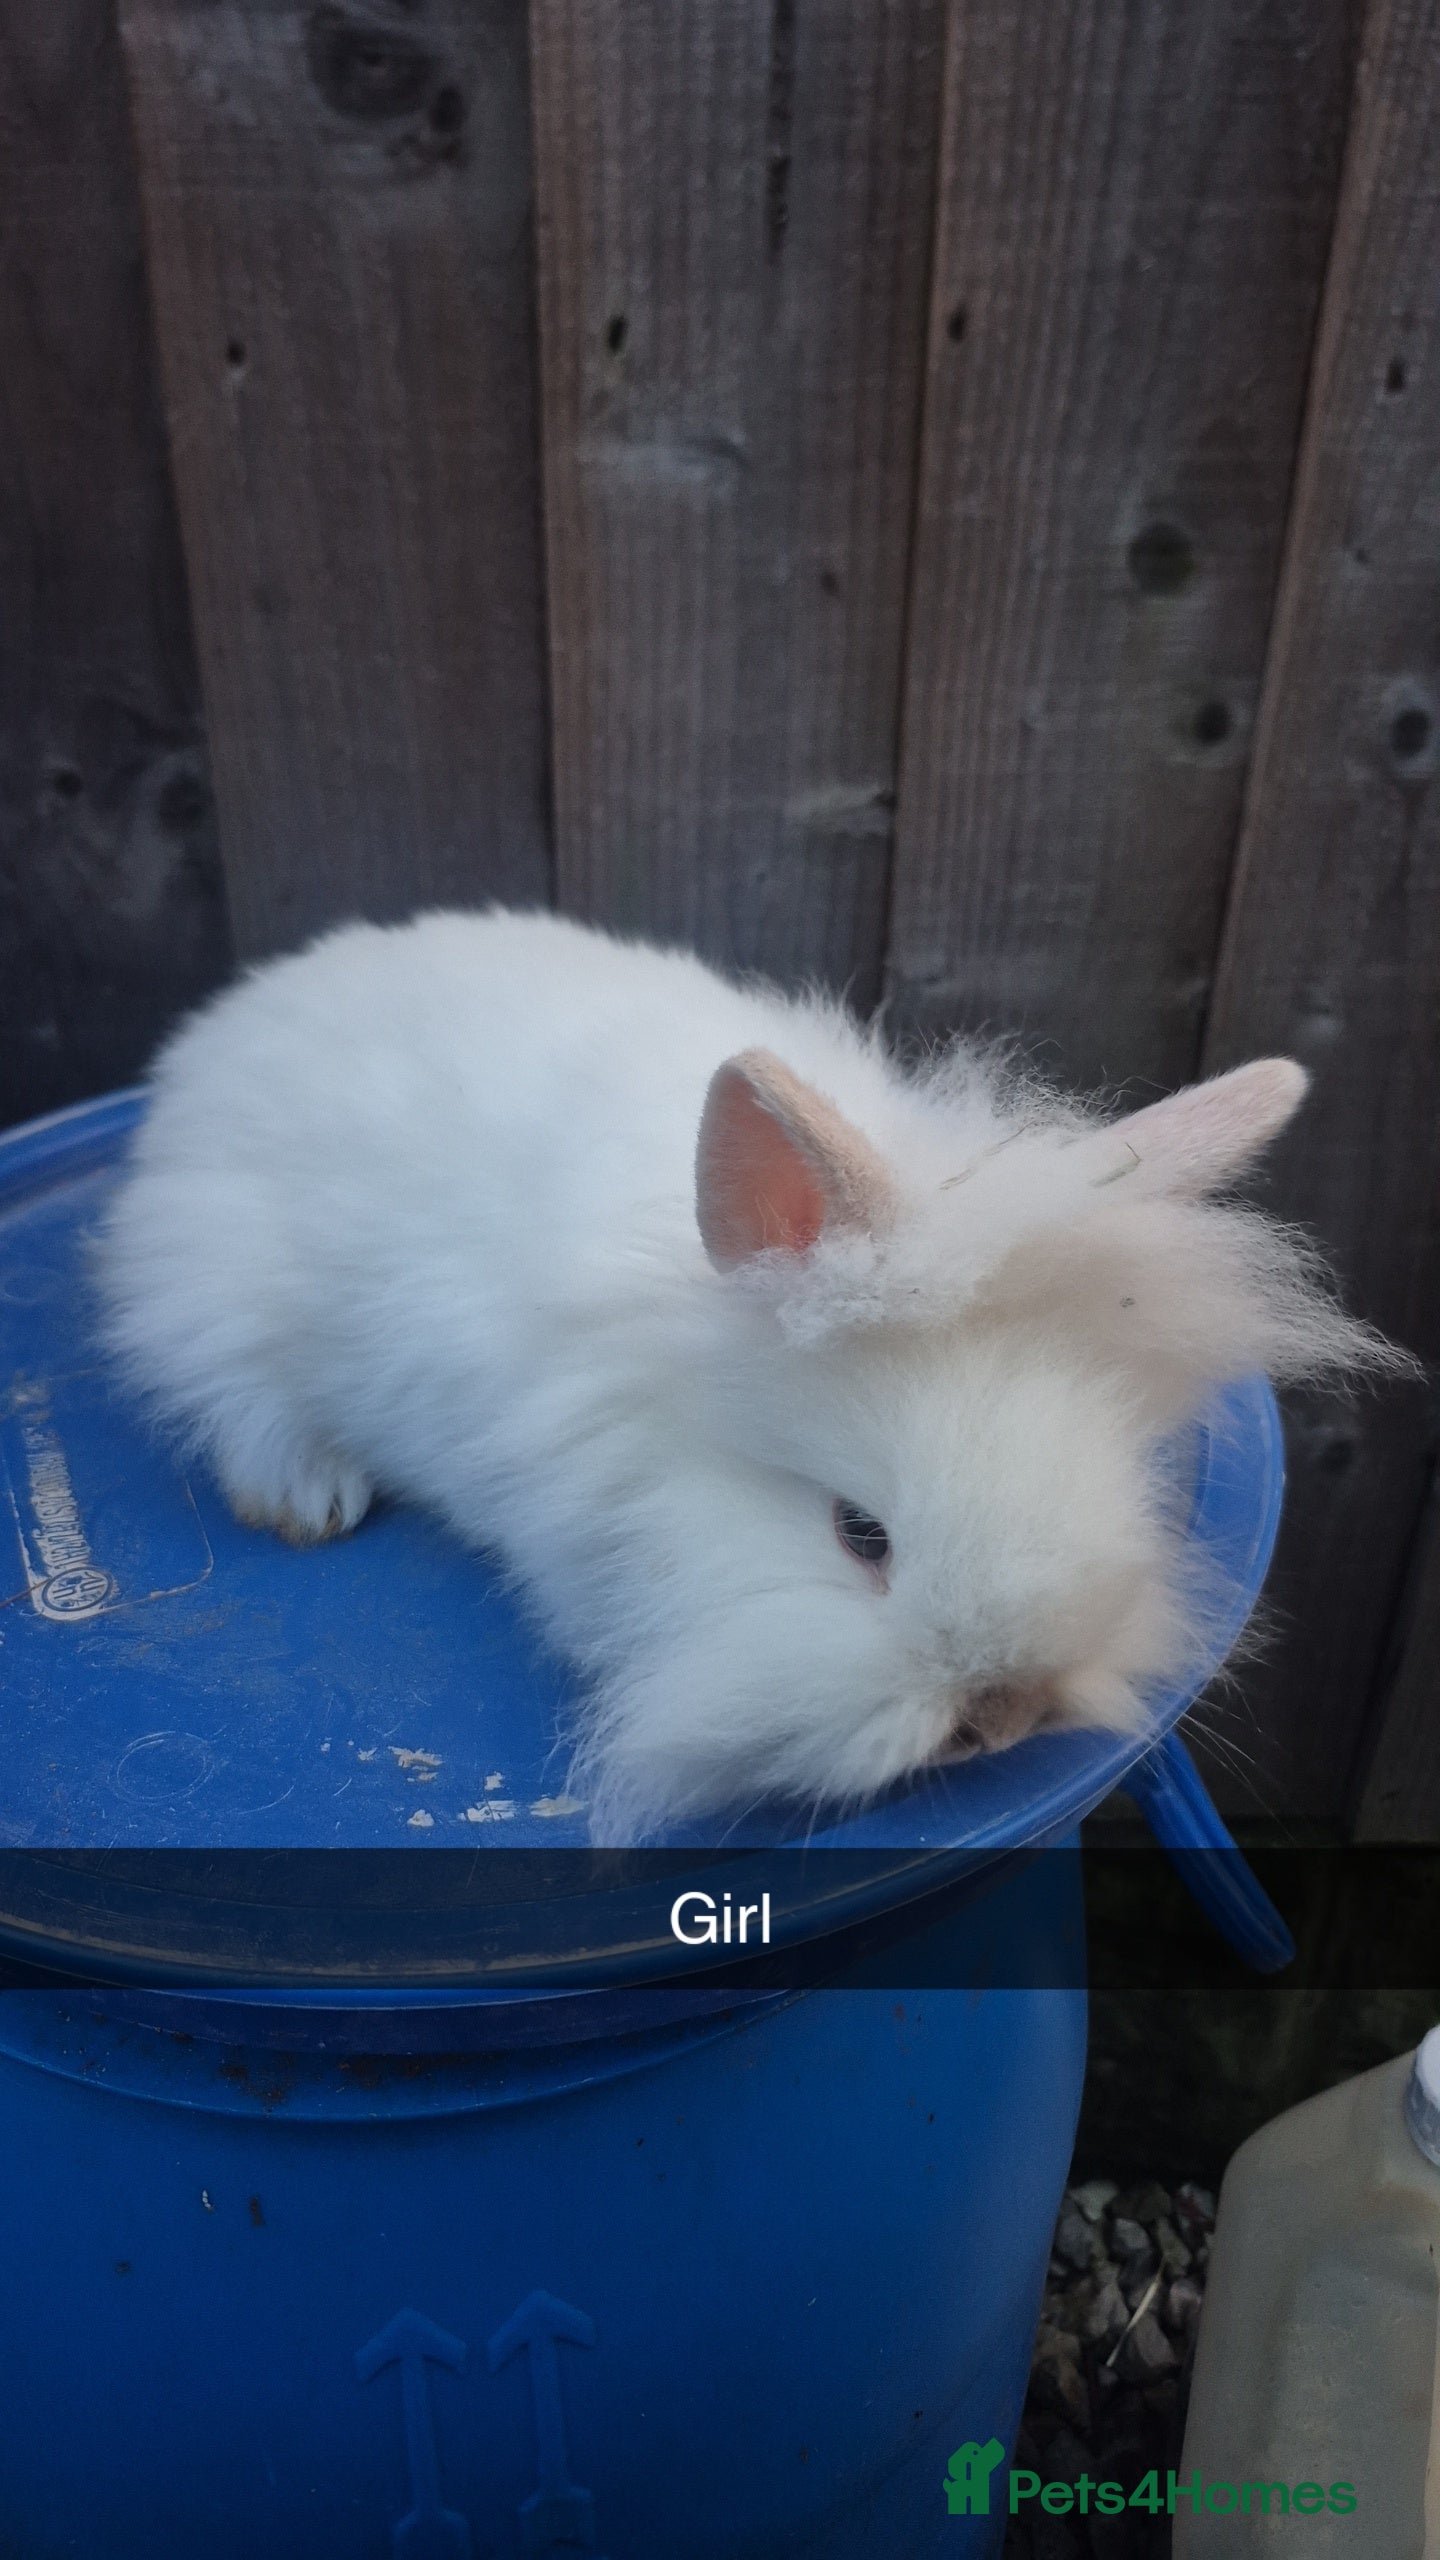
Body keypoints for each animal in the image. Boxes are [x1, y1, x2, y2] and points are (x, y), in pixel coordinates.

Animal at [95, 905, 1402, 1841]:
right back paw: (308, 1494)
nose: (1002, 1717)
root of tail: (230, 1024)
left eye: (1121, 1485)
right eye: (859, 1535)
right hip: (210, 1283)